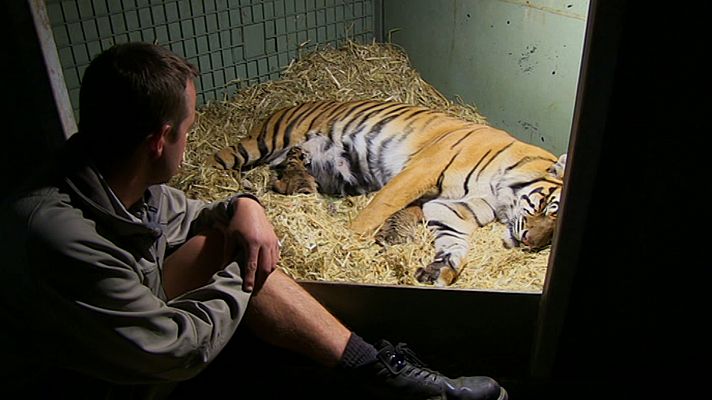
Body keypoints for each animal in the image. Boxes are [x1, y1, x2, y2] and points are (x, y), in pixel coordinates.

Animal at [214, 101, 564, 288]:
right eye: (546, 207)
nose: (531, 242)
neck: (500, 196)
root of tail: (282, 107)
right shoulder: (422, 170)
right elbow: (382, 205)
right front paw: (348, 245)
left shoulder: (450, 209)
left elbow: (454, 245)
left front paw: (441, 270)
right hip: (260, 145)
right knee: (215, 158)